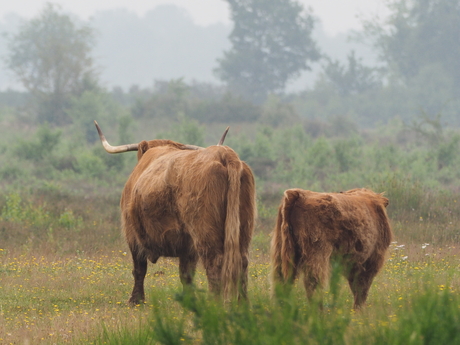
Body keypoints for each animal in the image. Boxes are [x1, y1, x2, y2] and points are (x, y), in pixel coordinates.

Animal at [95, 121, 256, 304]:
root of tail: (224, 154)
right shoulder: (188, 245)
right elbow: (186, 274)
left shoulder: (132, 233)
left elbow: (139, 269)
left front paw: (136, 300)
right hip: (243, 228)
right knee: (242, 262)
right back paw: (243, 304)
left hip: (204, 230)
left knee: (215, 262)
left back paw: (214, 304)